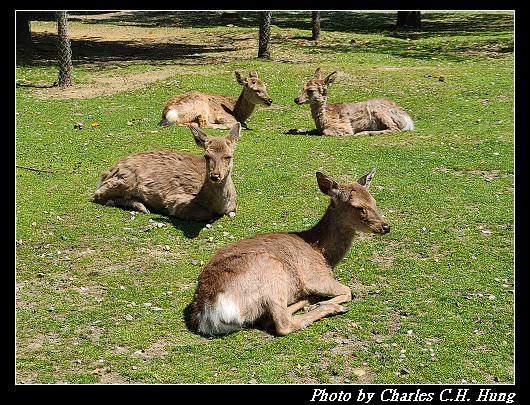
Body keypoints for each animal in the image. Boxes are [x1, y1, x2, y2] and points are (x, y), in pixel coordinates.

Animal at [89, 122, 241, 221]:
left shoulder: (232, 205)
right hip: (125, 180)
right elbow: (204, 214)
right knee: (96, 196)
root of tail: (104, 174)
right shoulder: (176, 197)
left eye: (228, 156)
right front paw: (166, 210)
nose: (215, 175)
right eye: (206, 155)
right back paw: (143, 207)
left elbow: (233, 209)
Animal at [189, 167, 388, 334]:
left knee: (269, 319)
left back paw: (308, 301)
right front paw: (325, 302)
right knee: (283, 324)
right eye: (358, 207)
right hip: (272, 272)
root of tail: (209, 314)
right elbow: (348, 291)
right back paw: (327, 307)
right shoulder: (315, 276)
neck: (322, 253)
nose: (385, 226)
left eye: (374, 201)